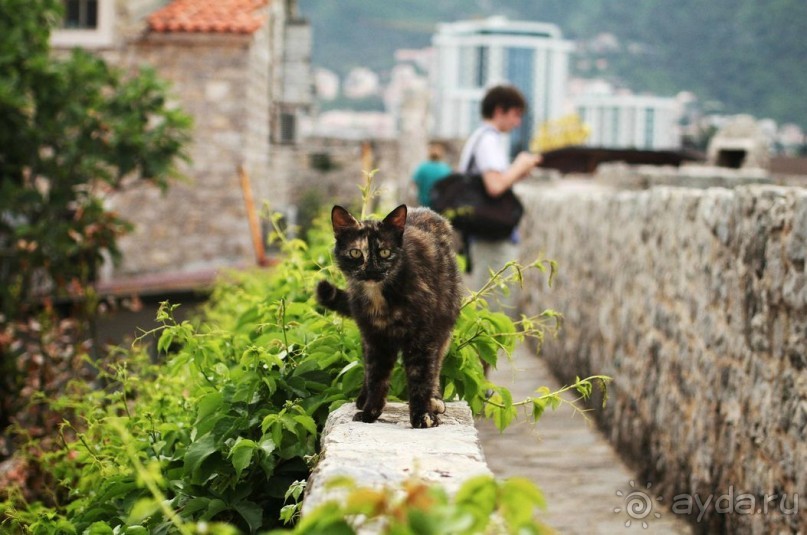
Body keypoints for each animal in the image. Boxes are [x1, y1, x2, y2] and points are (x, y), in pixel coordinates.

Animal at [318, 203, 464, 430]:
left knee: (435, 365)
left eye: (385, 252)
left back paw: (434, 399)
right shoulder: (375, 338)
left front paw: (422, 415)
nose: (371, 271)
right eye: (355, 253)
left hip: (443, 328)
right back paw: (363, 399)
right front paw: (370, 412)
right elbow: (376, 376)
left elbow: (421, 375)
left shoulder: (422, 336)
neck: (380, 296)